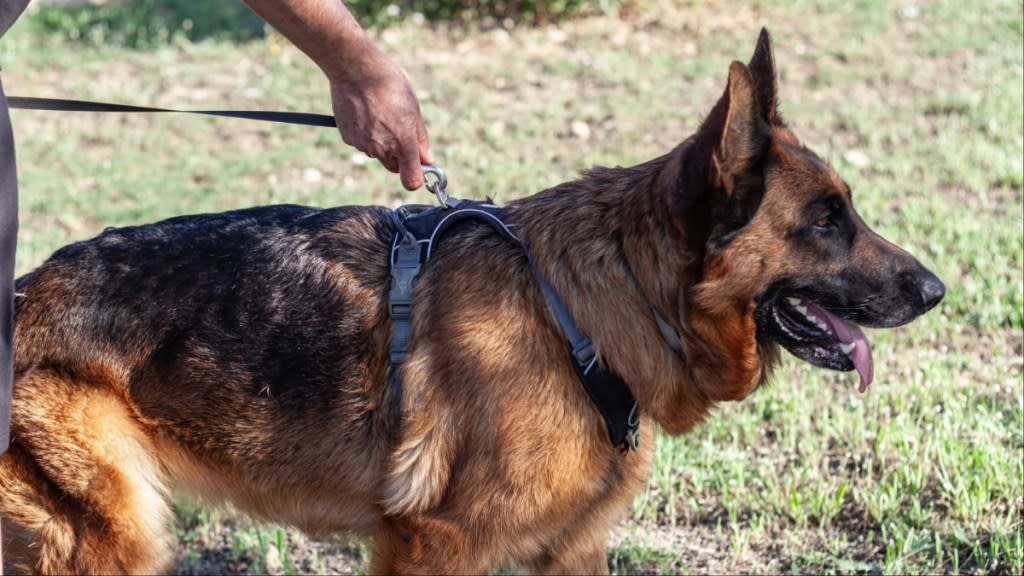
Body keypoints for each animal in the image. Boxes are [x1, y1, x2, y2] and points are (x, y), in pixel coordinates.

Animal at [2, 29, 942, 569]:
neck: (581, 312)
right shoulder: (435, 546)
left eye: (848, 210)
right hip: (109, 536)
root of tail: (21, 293)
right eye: (826, 221)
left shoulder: (572, 549)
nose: (936, 291)